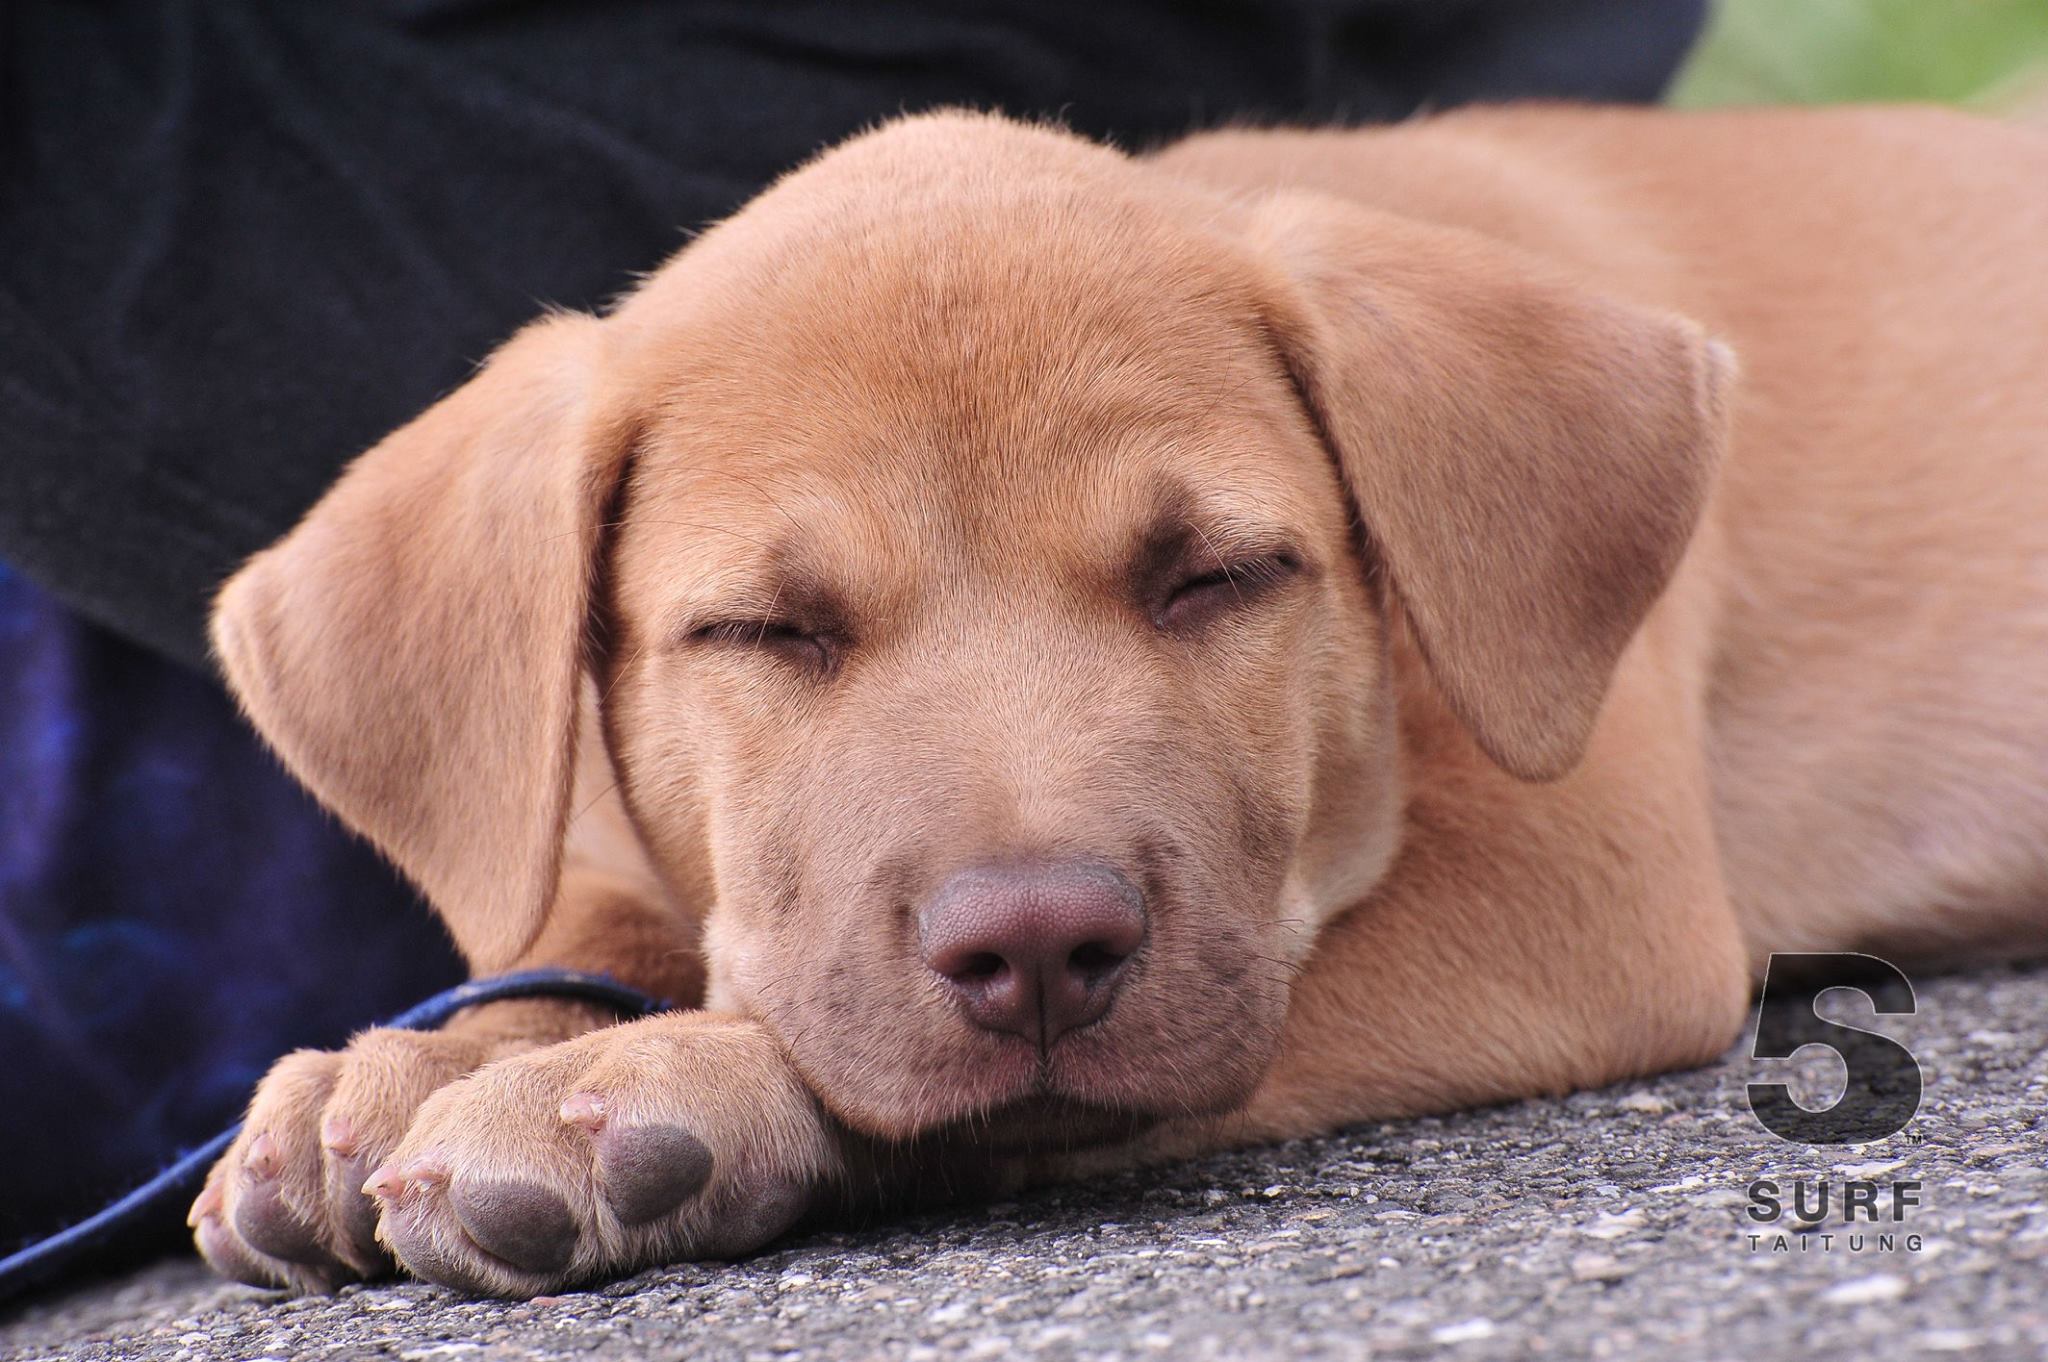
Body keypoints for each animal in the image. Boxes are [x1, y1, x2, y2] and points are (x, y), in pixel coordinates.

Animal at [184, 100, 2039, 1294]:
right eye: (767, 629)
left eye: (1211, 576)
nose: (1035, 949)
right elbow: (595, 926)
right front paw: (403, 1066)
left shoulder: (1577, 884)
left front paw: (655, 1088)